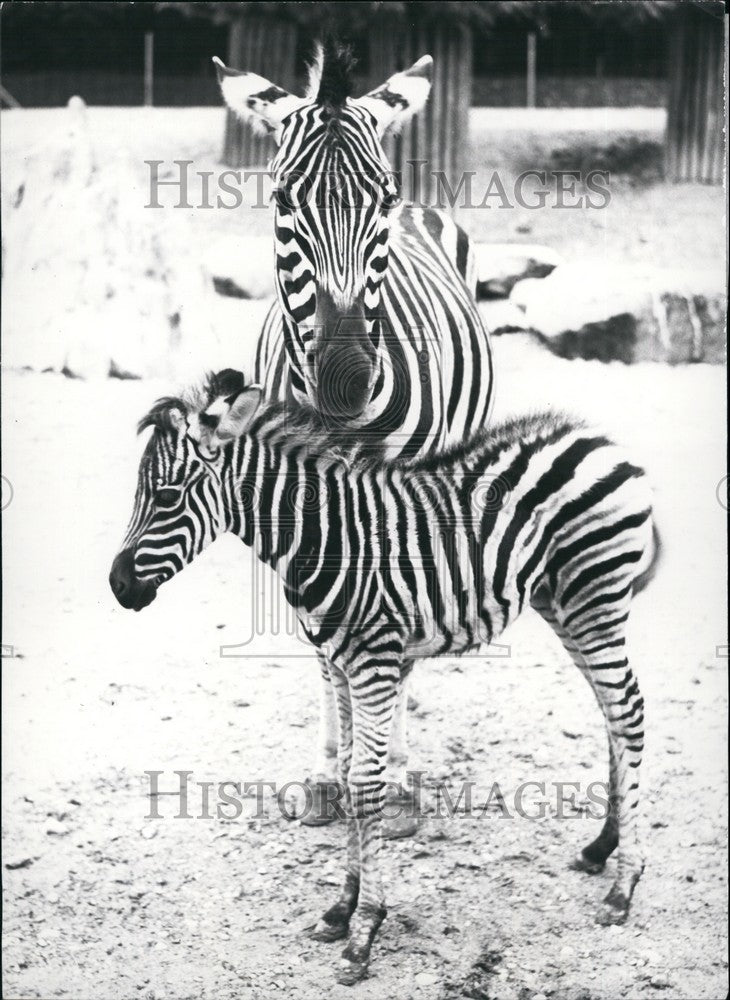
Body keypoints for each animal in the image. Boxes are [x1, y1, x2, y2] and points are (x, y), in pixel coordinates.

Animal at [110, 369, 659, 986]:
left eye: (165, 497)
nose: (117, 586)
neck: (323, 538)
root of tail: (598, 439)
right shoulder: (337, 662)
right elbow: (349, 775)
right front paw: (341, 908)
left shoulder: (373, 661)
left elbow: (366, 785)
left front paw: (365, 930)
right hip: (558, 603)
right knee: (611, 712)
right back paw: (601, 848)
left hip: (595, 599)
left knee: (628, 711)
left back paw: (624, 885)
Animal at [215, 39, 493, 827]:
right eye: (283, 201)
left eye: (383, 202)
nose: (346, 377)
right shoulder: (296, 514)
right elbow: (325, 650)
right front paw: (330, 771)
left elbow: (390, 645)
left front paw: (391, 774)